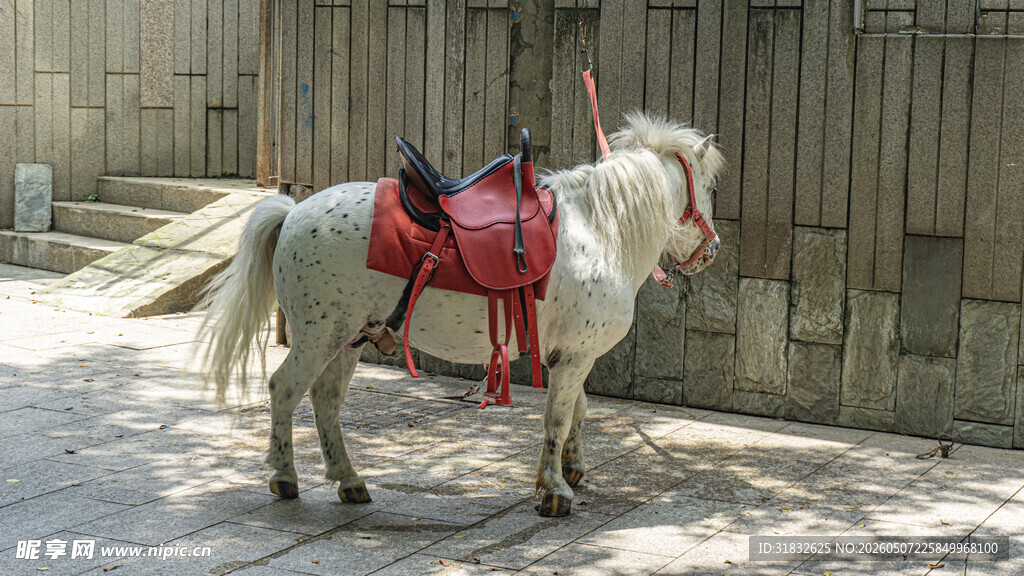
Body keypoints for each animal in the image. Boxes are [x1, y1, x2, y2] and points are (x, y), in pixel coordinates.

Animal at [197, 113, 724, 517]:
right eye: (709, 186)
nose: (712, 250)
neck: (601, 230)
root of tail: (292, 210)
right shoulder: (575, 356)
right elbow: (557, 418)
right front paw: (554, 490)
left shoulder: (576, 355)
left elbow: (577, 411)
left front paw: (572, 468)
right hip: (318, 337)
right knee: (285, 389)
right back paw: (285, 476)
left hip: (351, 337)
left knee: (325, 400)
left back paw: (349, 481)